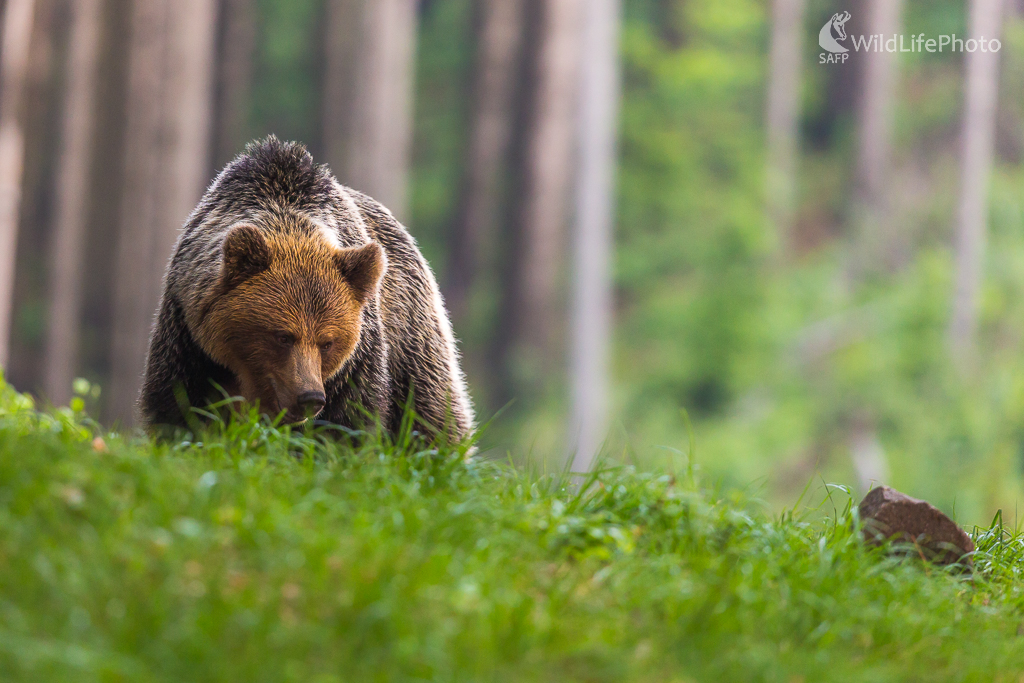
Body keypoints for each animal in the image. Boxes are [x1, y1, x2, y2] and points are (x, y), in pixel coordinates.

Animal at [140, 136, 475, 440]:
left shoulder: (357, 358)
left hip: (409, 332)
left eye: (327, 342)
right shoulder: (188, 336)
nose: (310, 397)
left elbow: (349, 422)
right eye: (282, 336)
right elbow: (179, 408)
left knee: (429, 410)